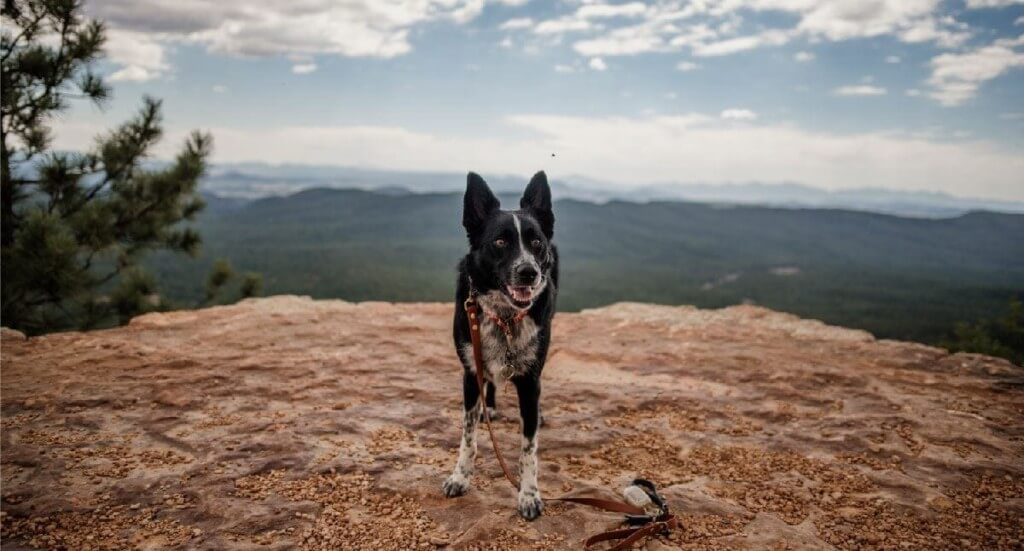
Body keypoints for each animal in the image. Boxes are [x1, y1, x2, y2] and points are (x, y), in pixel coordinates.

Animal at [438, 168, 557, 516]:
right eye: (500, 241)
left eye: (536, 242)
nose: (529, 272)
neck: (505, 317)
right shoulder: (469, 371)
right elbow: (468, 435)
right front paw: (460, 477)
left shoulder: (530, 381)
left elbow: (528, 447)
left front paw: (528, 494)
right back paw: (487, 407)